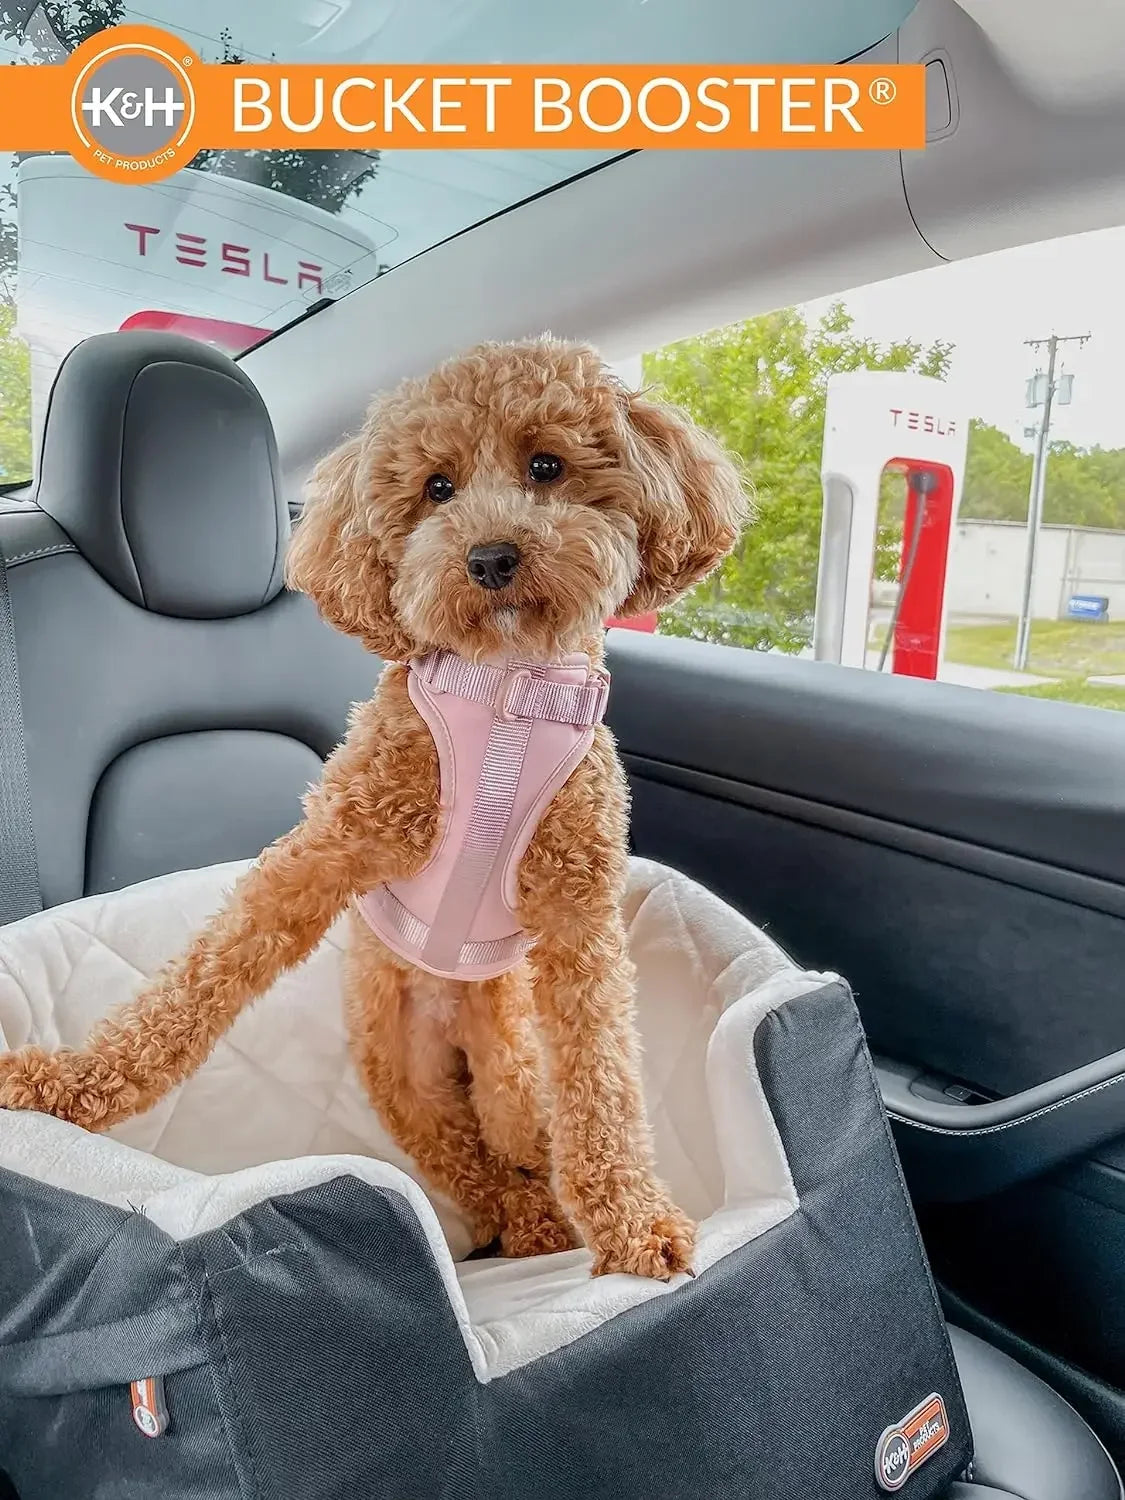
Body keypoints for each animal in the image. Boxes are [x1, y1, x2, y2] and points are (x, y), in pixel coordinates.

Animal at [4, 337, 753, 1278]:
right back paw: (527, 1227)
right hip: (410, 1086)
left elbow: (601, 1077)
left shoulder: (577, 911)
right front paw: (64, 1086)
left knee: (524, 1144)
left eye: (546, 466)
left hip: (511, 1072)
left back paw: (545, 1220)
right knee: (477, 1171)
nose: (490, 558)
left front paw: (631, 1219)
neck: (506, 694)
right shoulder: (334, 844)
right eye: (436, 487)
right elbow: (198, 981)